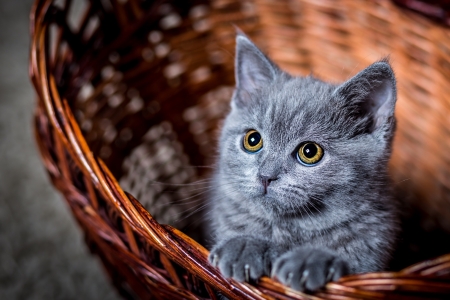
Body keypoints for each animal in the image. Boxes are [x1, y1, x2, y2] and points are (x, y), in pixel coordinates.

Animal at [206, 33, 400, 292]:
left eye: (309, 152)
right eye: (252, 140)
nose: (266, 175)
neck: (292, 228)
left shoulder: (373, 251)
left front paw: (310, 259)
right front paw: (244, 245)